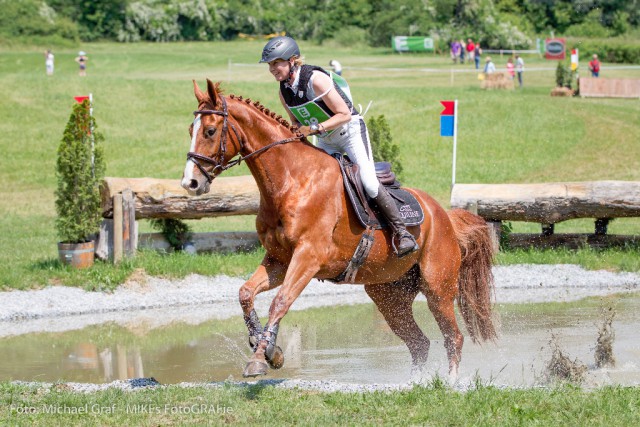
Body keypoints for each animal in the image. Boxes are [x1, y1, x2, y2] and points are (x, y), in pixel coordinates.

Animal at [182, 79, 498, 378]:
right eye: (190, 129)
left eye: (210, 131)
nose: (190, 183)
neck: (290, 182)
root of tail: (443, 214)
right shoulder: (279, 260)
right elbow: (246, 293)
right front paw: (270, 349)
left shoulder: (308, 257)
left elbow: (280, 301)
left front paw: (261, 358)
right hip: (388, 294)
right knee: (418, 342)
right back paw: (415, 383)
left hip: (437, 287)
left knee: (453, 337)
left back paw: (451, 383)